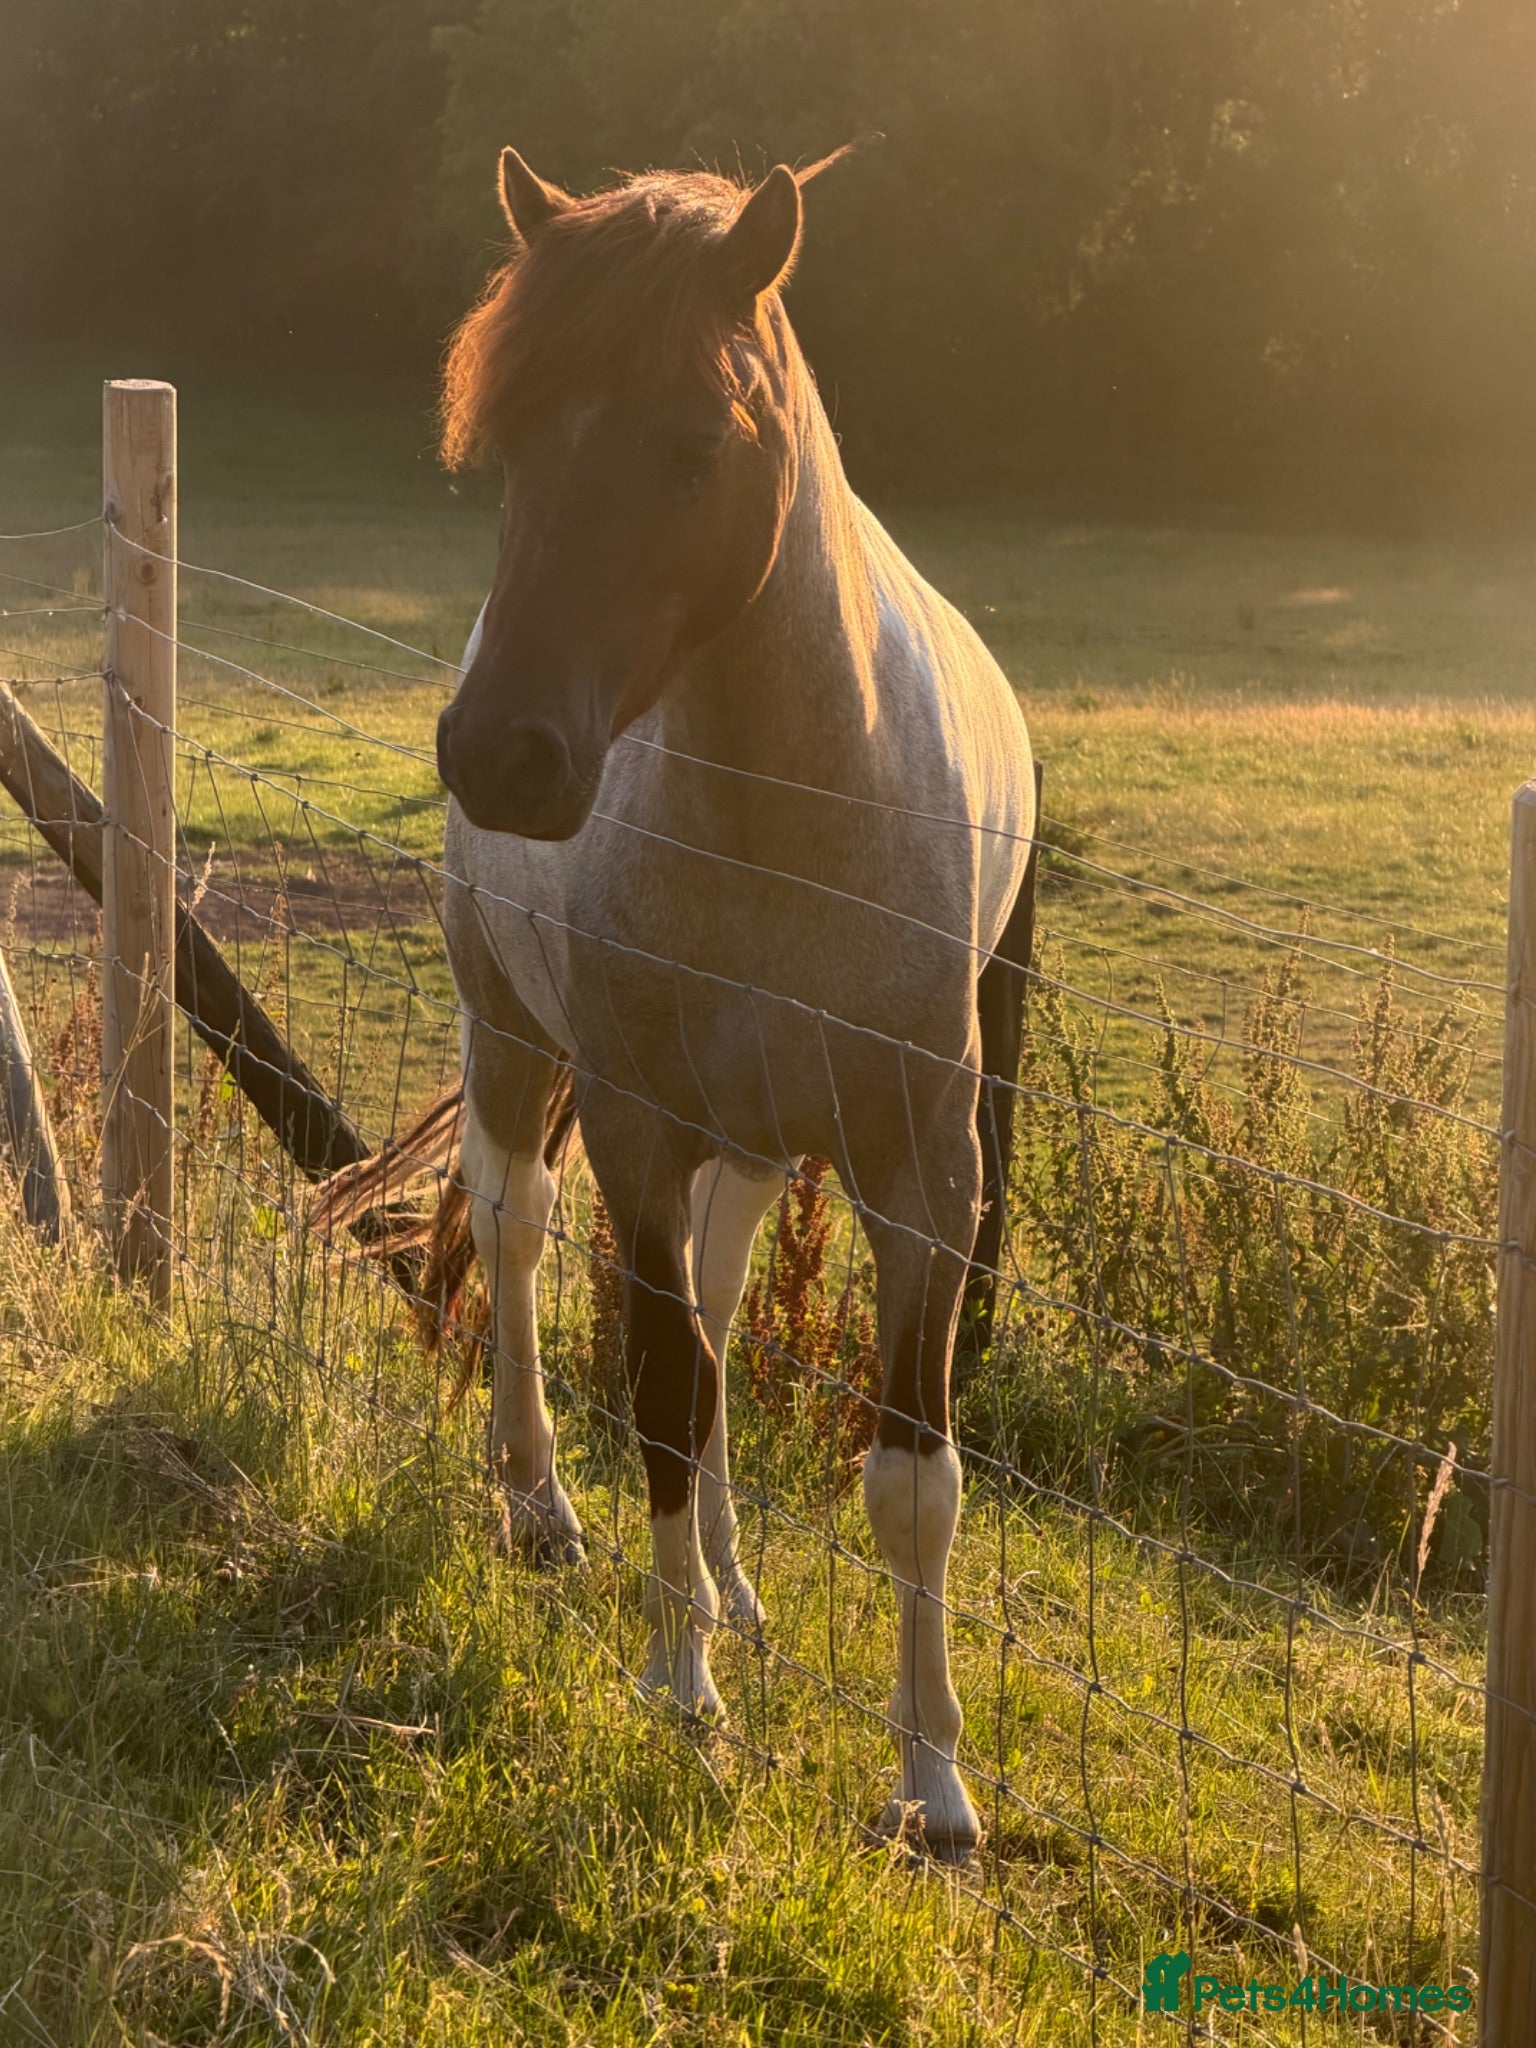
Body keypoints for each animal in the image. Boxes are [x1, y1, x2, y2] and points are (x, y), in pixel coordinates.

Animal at [430, 146, 1035, 1854]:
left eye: (696, 443)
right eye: (507, 439)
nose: (504, 756)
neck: (792, 813)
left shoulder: (925, 1173)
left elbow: (910, 1479)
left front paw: (934, 1785)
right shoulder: (637, 1129)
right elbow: (652, 1387)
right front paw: (676, 1691)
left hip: (757, 1144)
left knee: (705, 1294)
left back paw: (735, 1583)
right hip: (514, 1037)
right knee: (516, 1227)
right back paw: (542, 1507)